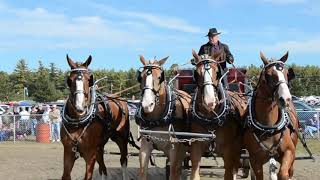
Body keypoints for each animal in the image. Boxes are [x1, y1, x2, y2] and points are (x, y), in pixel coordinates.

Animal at [190, 50, 248, 180]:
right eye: (196, 73)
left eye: (217, 72)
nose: (209, 102)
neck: (211, 117)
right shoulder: (196, 146)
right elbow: (195, 170)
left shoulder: (228, 152)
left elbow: (229, 171)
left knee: (236, 166)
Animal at [244, 51, 298, 179]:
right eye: (268, 75)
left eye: (287, 73)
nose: (286, 99)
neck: (269, 128)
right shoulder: (255, 160)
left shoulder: (290, 151)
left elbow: (283, 173)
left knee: (290, 171)